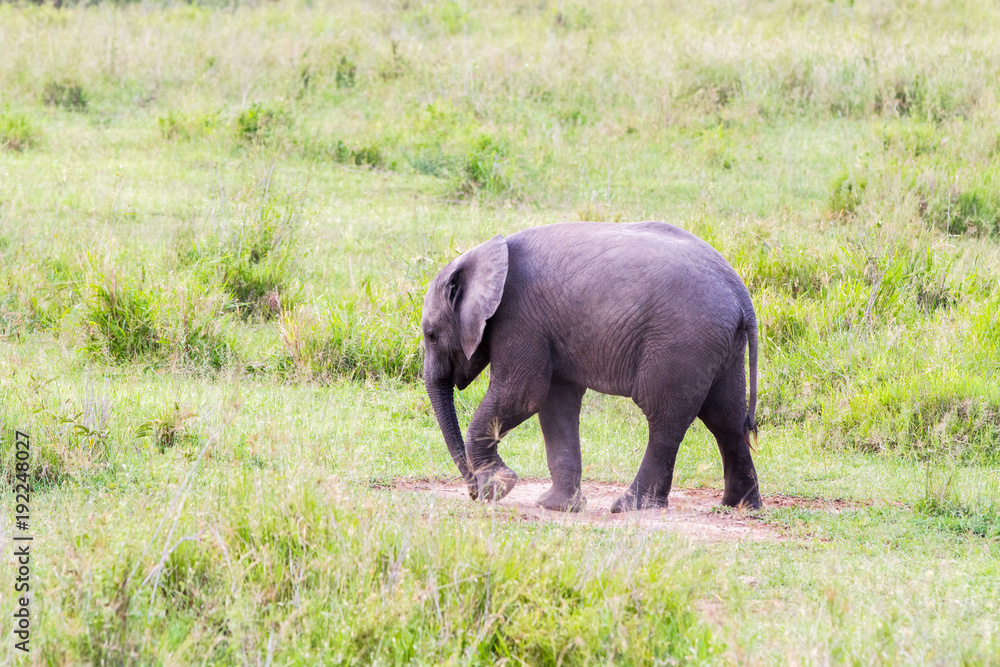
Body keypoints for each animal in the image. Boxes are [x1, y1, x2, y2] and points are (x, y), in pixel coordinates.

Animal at [421, 221, 762, 513]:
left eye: (431, 335)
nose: (473, 492)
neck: (486, 254)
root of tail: (741, 296)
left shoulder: (518, 319)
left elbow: (522, 395)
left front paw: (500, 486)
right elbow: (554, 404)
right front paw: (556, 506)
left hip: (682, 340)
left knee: (664, 418)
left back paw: (628, 507)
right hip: (721, 344)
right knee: (725, 419)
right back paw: (739, 506)